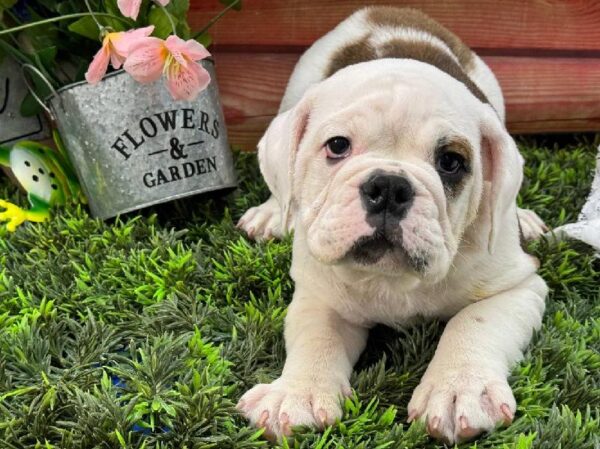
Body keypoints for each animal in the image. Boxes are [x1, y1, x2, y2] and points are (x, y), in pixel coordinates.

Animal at [237, 7, 548, 444]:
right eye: (337, 146)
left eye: (451, 162)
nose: (388, 186)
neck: (393, 279)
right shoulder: (320, 294)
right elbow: (317, 338)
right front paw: (296, 393)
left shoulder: (518, 288)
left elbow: (473, 325)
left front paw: (458, 390)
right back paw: (271, 213)